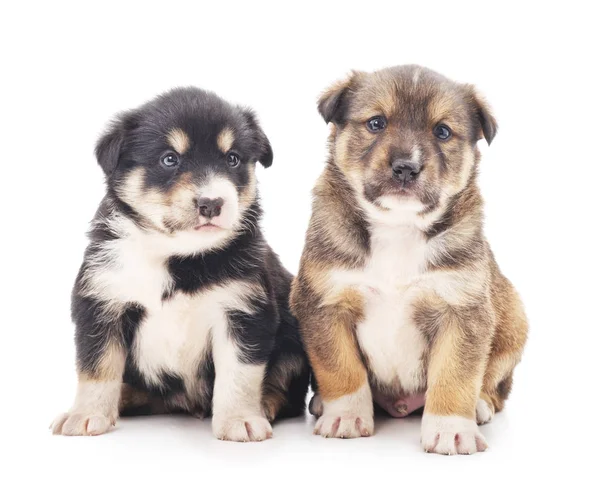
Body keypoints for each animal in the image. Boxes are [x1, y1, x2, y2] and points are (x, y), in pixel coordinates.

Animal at [51, 86, 310, 440]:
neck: (177, 256)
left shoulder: (243, 311)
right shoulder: (102, 303)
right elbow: (97, 366)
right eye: (169, 159)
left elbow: (239, 374)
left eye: (232, 158)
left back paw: (265, 404)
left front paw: (239, 420)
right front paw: (86, 415)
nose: (212, 203)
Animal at [292, 66, 528, 454]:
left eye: (442, 131)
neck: (398, 226)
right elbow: (341, 367)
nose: (406, 167)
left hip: (514, 319)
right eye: (376, 123)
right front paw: (346, 416)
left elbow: (455, 375)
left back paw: (479, 405)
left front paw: (451, 429)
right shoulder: (326, 302)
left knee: (495, 383)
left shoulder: (462, 310)